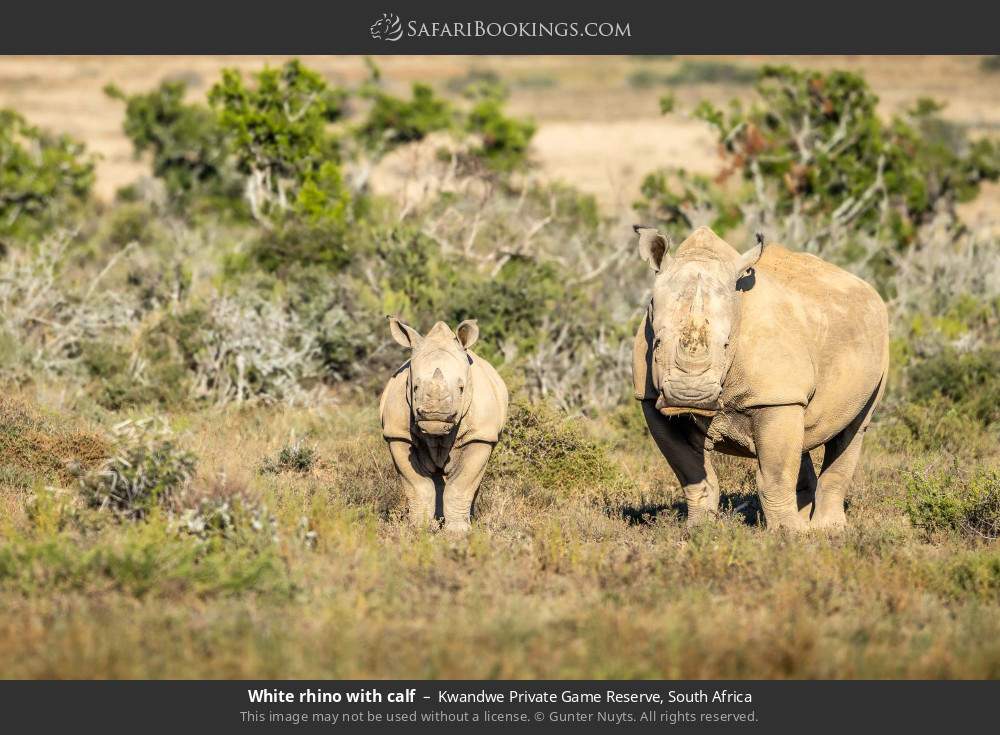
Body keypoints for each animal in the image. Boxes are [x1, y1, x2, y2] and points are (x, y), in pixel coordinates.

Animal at [380, 317, 508, 533]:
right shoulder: (397, 434)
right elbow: (418, 485)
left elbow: (461, 486)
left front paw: (458, 532)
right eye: (415, 387)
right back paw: (437, 521)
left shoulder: (480, 436)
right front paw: (419, 528)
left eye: (461, 388)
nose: (435, 417)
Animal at [632, 225, 888, 530]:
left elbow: (775, 475)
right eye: (658, 342)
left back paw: (827, 531)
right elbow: (692, 475)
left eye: (727, 344)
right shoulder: (649, 398)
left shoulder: (775, 395)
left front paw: (789, 535)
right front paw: (700, 529)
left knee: (854, 429)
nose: (690, 397)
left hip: (879, 343)